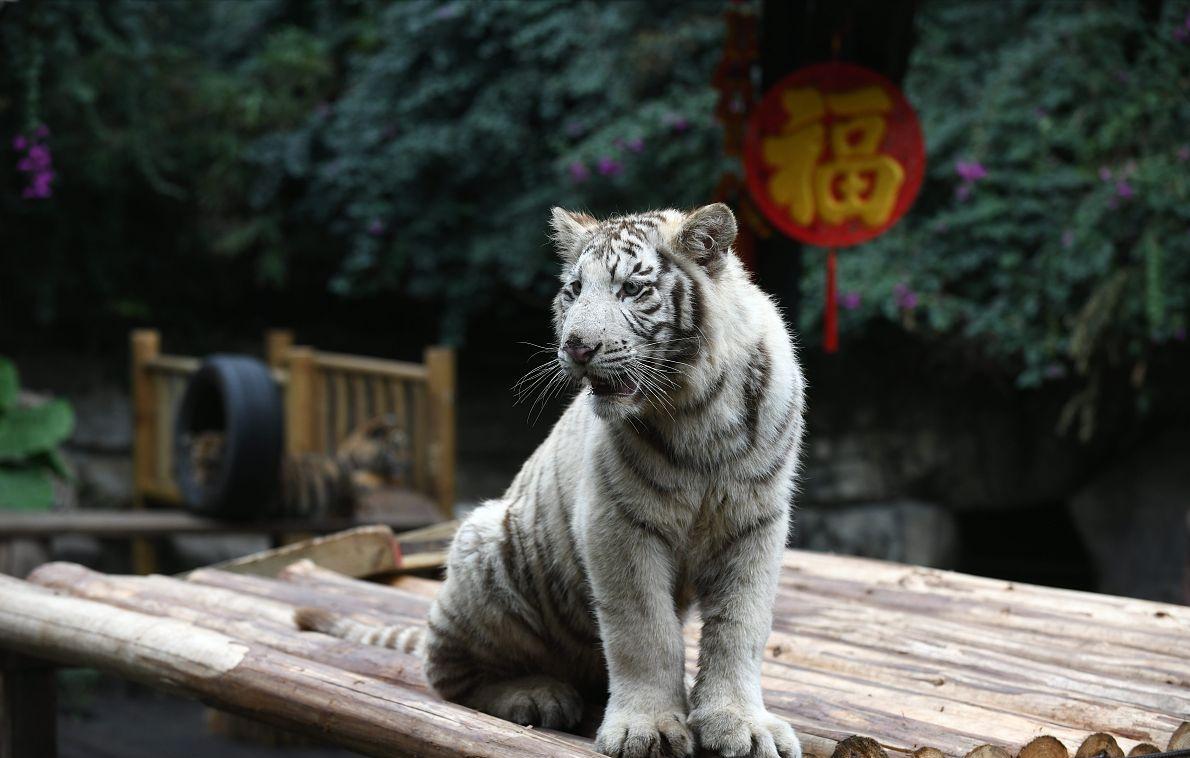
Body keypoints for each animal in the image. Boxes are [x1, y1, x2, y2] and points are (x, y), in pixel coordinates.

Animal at [298, 204, 806, 758]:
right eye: (574, 290)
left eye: (632, 289)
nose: (576, 347)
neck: (696, 409)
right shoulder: (616, 524)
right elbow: (644, 632)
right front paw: (647, 728)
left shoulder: (755, 524)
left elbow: (741, 627)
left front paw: (742, 725)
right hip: (483, 544)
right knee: (447, 672)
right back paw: (536, 696)